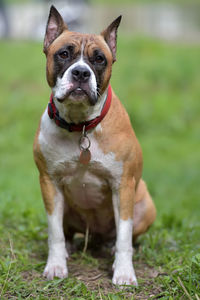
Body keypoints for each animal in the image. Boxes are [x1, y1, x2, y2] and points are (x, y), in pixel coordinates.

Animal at [33, 5, 156, 286]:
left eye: (100, 59)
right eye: (63, 54)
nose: (81, 72)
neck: (81, 126)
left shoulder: (123, 186)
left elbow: (124, 237)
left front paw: (124, 272)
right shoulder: (49, 183)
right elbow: (55, 233)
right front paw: (56, 265)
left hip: (145, 204)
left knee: (124, 236)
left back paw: (111, 247)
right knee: (66, 232)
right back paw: (70, 247)